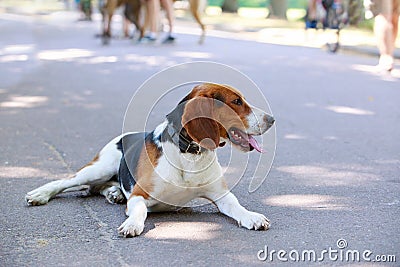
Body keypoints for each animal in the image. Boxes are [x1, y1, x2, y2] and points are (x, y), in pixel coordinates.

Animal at [25, 82, 276, 238]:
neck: (189, 154)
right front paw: (132, 224)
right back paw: (40, 194)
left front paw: (252, 217)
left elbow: (238, 206)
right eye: (237, 102)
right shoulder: (139, 195)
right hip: (98, 168)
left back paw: (114, 193)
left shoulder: (222, 196)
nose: (272, 119)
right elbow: (140, 211)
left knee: (99, 187)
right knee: (68, 182)